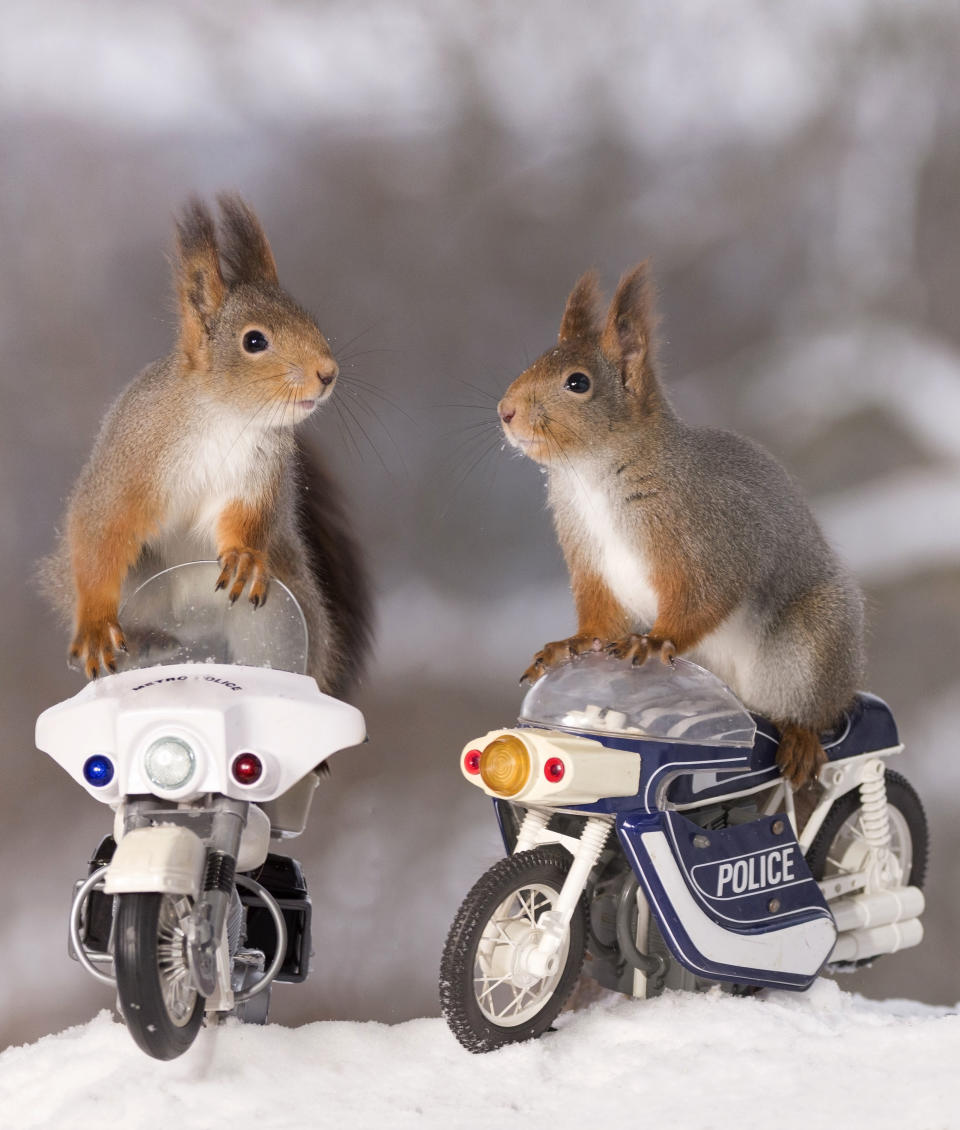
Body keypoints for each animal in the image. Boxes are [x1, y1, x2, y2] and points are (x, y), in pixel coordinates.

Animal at [42, 192, 370, 696]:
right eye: (254, 341)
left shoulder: (262, 474)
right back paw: (149, 643)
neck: (225, 417)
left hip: (276, 619)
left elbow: (250, 519)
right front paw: (96, 624)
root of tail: (195, 633)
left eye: (310, 320)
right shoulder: (131, 460)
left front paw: (245, 558)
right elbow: (102, 531)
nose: (328, 373)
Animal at [496, 266, 862, 786]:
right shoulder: (590, 559)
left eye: (577, 383)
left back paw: (801, 737)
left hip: (812, 645)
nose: (505, 412)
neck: (590, 474)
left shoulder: (709, 534)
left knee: (813, 710)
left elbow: (706, 595)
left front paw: (653, 641)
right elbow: (600, 616)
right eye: (537, 361)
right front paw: (571, 644)